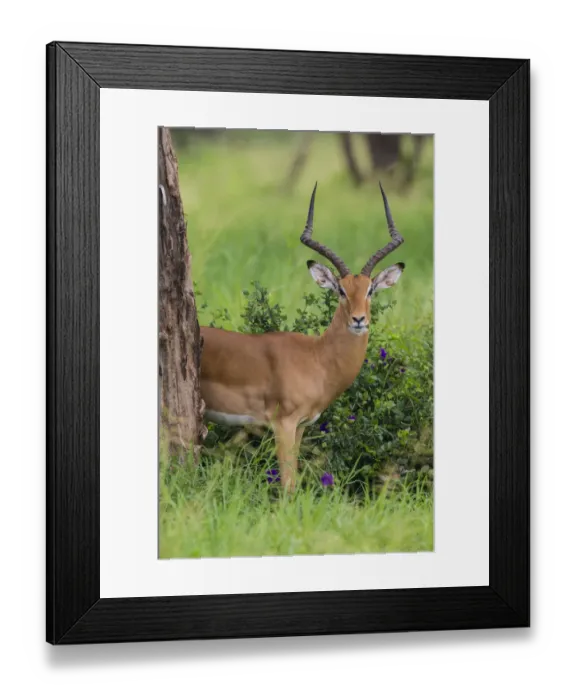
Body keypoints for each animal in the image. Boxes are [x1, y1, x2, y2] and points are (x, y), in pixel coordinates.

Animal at [199, 183, 405, 491]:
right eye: (341, 290)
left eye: (370, 290)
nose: (359, 319)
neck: (317, 358)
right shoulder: (283, 424)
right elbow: (288, 485)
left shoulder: (301, 427)